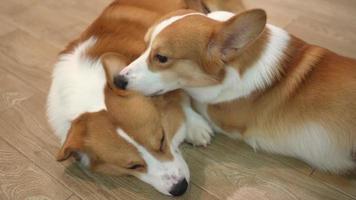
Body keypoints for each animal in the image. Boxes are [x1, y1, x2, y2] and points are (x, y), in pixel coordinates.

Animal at [118, 9, 356, 173]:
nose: (118, 80)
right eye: (145, 46)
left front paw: (195, 126)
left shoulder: (221, 114)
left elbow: (181, 94)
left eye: (162, 58)